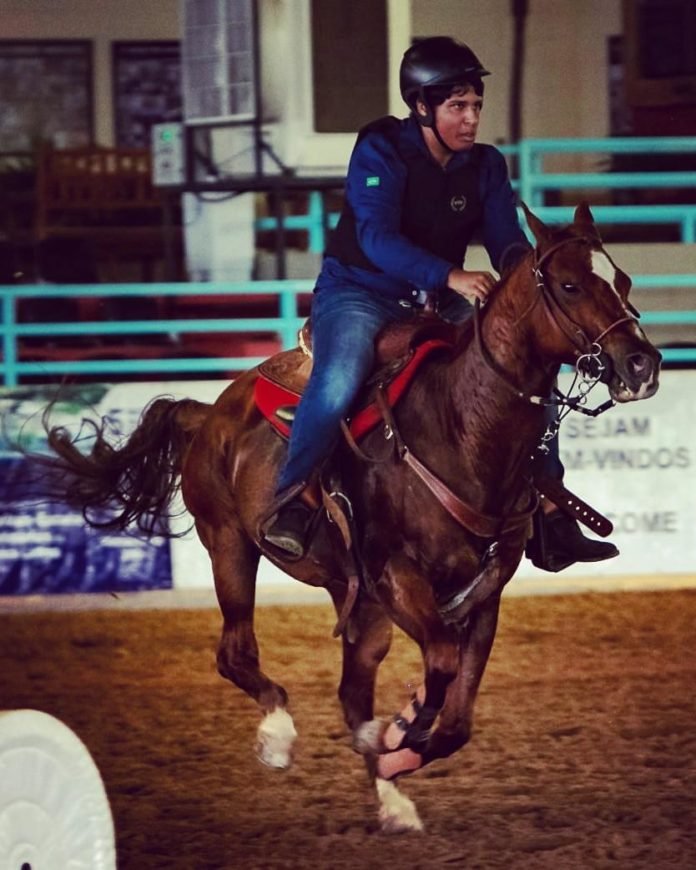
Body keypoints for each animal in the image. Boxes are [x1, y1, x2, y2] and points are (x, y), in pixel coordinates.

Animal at [41, 204, 660, 833]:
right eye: (570, 285)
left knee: (349, 693)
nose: (643, 363)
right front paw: (400, 731)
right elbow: (439, 667)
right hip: (232, 548)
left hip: (357, 600)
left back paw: (392, 800)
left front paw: (400, 747)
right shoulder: (397, 578)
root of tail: (208, 410)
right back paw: (280, 737)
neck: (460, 428)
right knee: (237, 654)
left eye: (623, 280)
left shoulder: (485, 595)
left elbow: (456, 723)